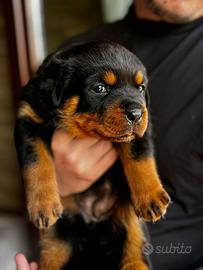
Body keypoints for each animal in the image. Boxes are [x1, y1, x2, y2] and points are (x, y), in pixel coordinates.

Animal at [14, 40, 170, 270]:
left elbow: (141, 159)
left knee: (134, 254)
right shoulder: (28, 118)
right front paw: (43, 204)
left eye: (141, 88)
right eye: (99, 88)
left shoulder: (141, 130)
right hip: (57, 239)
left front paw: (151, 197)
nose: (136, 114)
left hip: (131, 223)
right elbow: (36, 163)